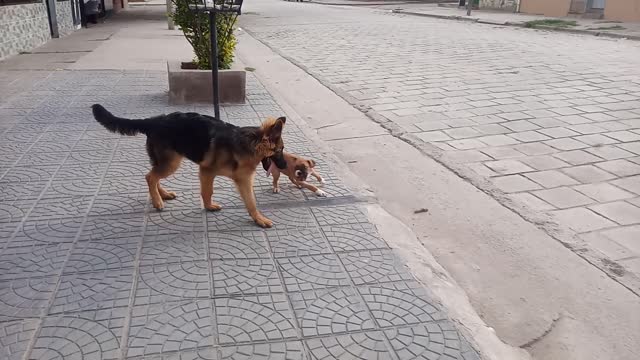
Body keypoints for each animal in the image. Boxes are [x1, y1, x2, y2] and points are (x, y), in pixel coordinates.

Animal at [90, 104, 288, 228]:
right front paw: (209, 207)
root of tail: (154, 121)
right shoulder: (207, 172)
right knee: (150, 176)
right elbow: (208, 192)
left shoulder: (243, 180)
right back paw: (157, 201)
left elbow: (250, 202)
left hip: (166, 162)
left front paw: (258, 219)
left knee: (153, 176)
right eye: (280, 150)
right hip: (172, 163)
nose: (286, 165)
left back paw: (162, 195)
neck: (249, 143)